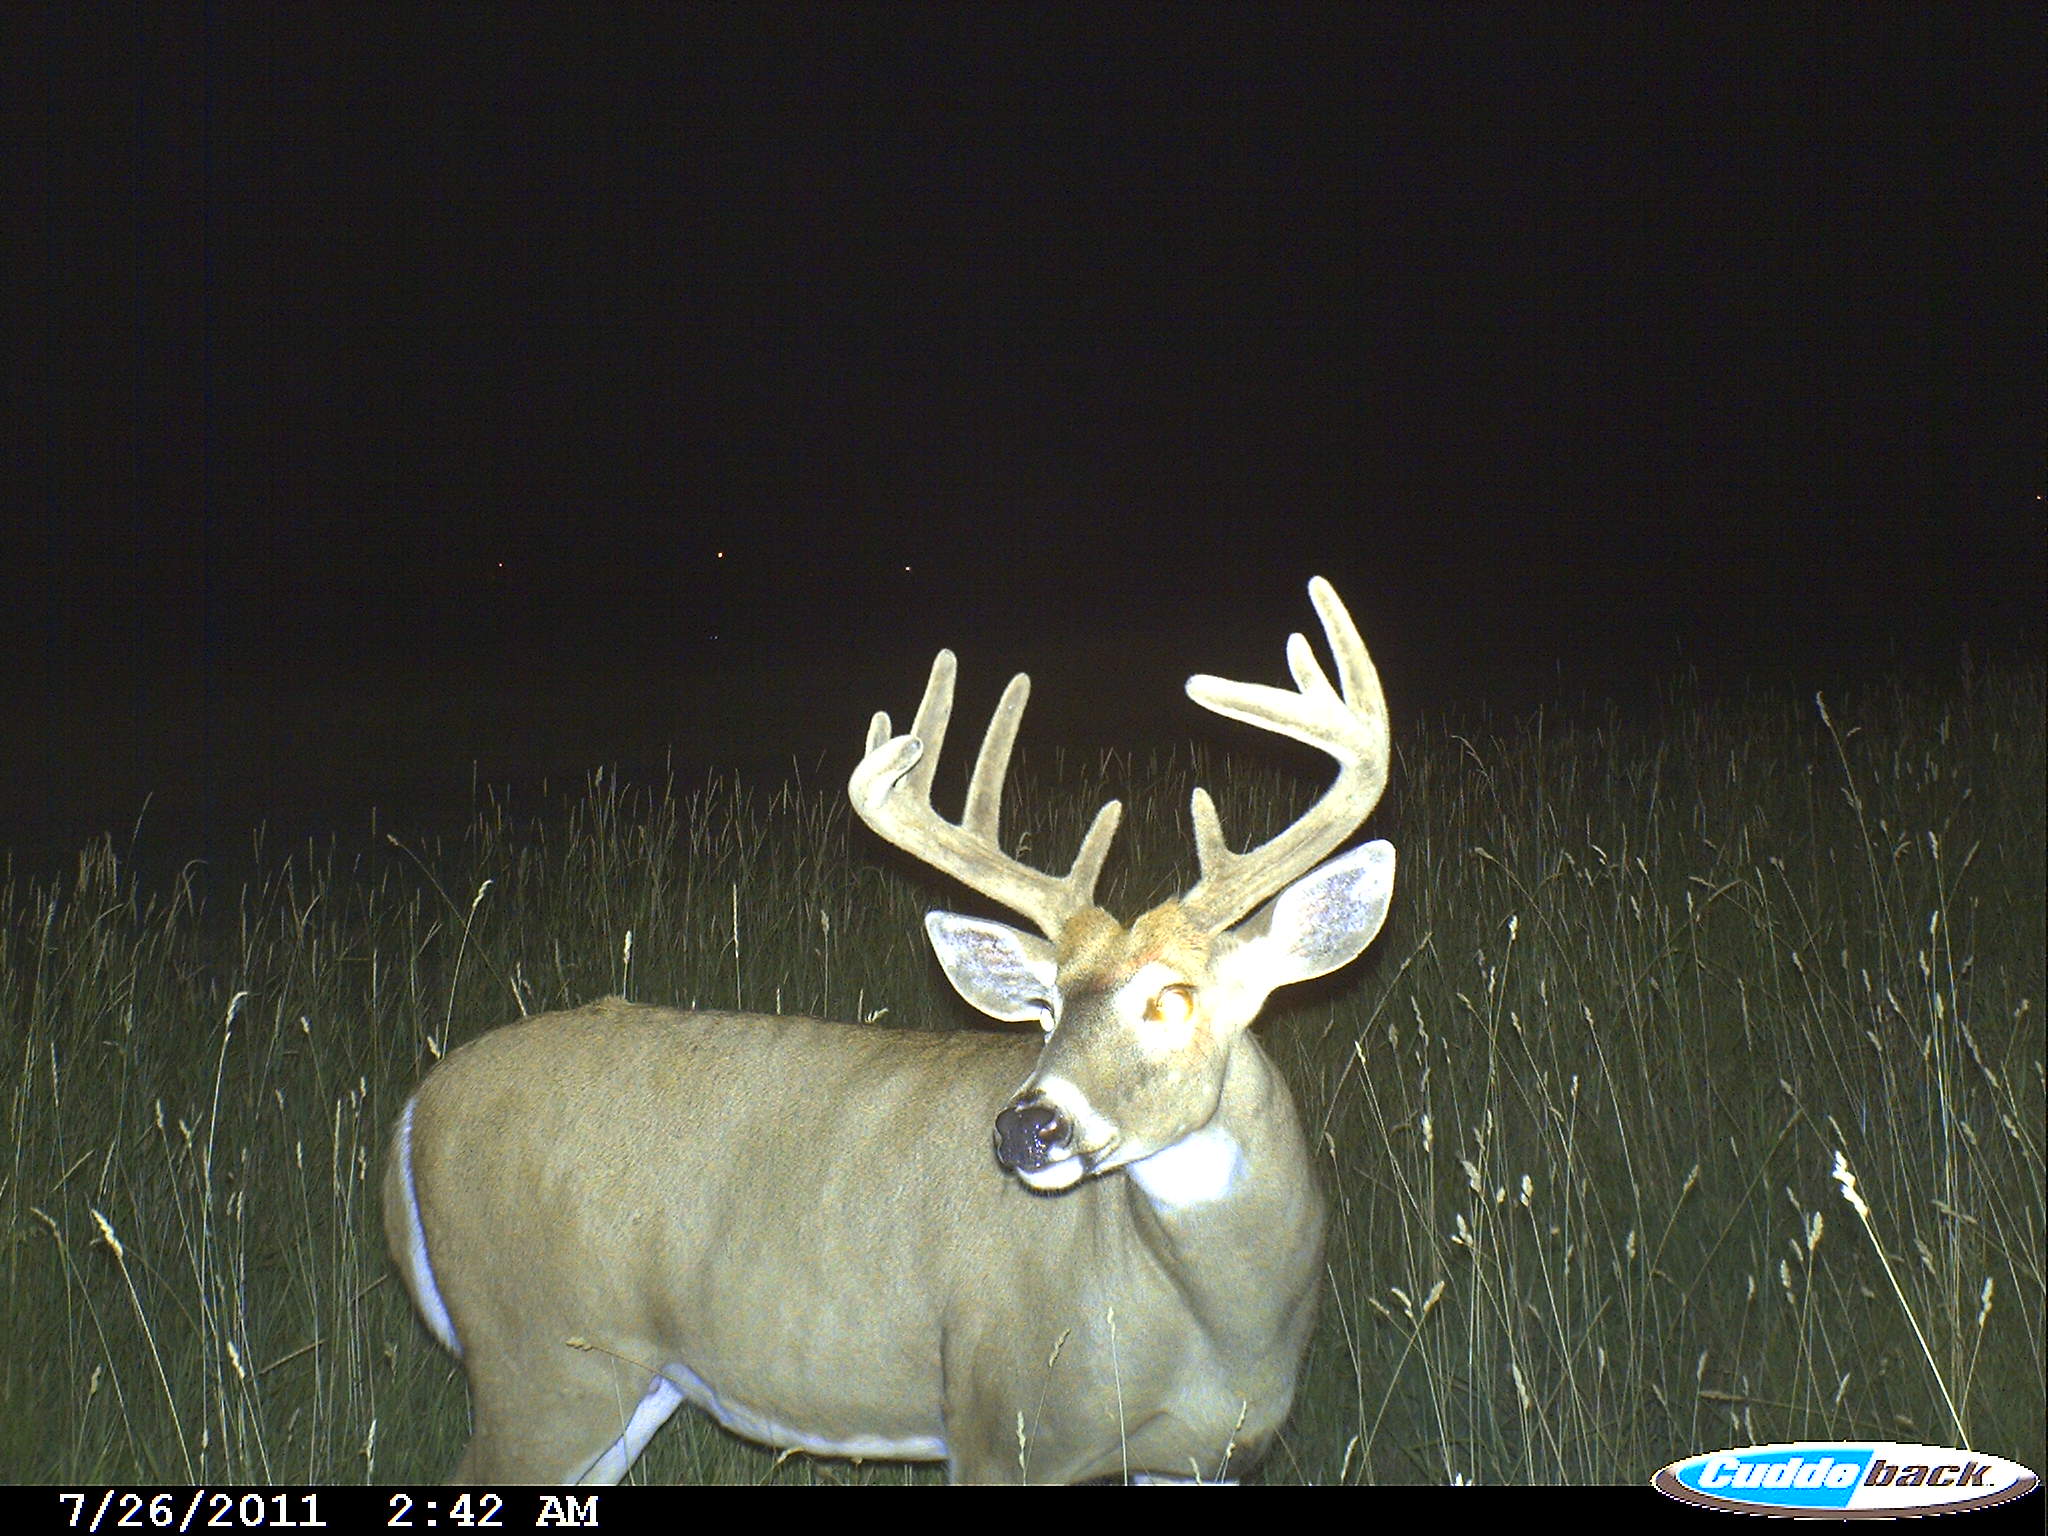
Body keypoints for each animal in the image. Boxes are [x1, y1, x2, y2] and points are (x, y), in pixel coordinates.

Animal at [383, 575, 1395, 1484]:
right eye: (1048, 1005)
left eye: (1174, 997)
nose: (1027, 1128)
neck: (1214, 1326)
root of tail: (417, 1109)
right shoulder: (999, 1415)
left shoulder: (1207, 1458)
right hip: (540, 1361)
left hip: (621, 1381)